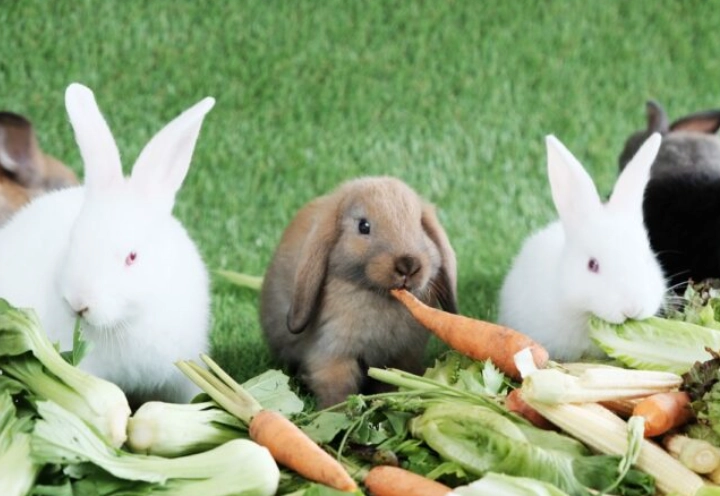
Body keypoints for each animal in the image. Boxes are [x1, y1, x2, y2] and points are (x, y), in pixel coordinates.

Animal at [259, 176, 459, 408]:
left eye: (420, 225)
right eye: (363, 226)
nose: (408, 265)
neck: (381, 297)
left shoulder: (403, 356)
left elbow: (393, 382)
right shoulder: (333, 353)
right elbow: (338, 388)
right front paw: (338, 412)